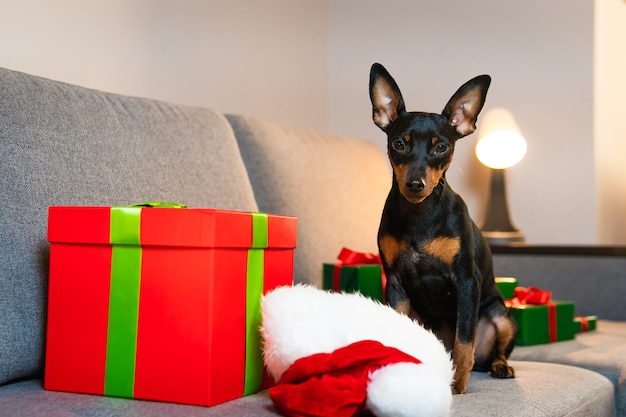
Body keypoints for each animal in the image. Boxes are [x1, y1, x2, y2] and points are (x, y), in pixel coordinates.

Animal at [368, 62, 516, 394]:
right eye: (399, 144)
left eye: (441, 148)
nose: (415, 183)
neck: (420, 214)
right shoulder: (395, 284)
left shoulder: (466, 280)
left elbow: (463, 341)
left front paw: (458, 385)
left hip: (502, 317)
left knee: (492, 351)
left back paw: (500, 366)